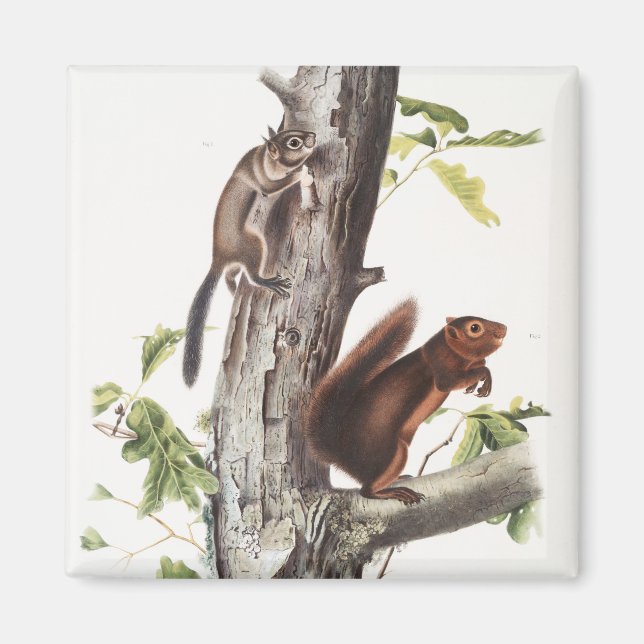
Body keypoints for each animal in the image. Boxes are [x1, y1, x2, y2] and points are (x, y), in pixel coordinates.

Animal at [183, 127, 317, 387]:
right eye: (294, 142)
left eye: (293, 133)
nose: (313, 137)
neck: (262, 157)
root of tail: (219, 258)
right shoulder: (262, 178)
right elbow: (274, 185)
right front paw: (301, 170)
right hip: (253, 245)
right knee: (252, 277)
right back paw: (266, 282)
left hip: (239, 260)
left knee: (231, 275)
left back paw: (233, 289)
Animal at [303, 298, 507, 505]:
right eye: (475, 328)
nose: (504, 328)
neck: (446, 347)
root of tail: (342, 456)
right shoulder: (442, 369)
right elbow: (452, 381)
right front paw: (483, 376)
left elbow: (478, 366)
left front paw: (476, 382)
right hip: (392, 454)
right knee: (366, 490)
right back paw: (395, 492)